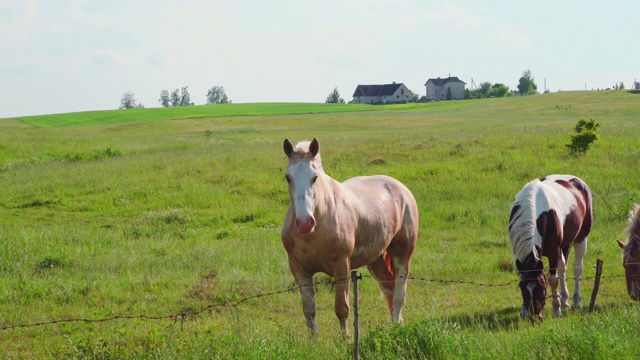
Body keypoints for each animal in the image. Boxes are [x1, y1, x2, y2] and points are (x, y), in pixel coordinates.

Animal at [280, 139, 420, 334]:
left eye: (314, 177)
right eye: (288, 177)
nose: (305, 222)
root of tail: (401, 188)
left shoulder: (341, 267)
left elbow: (342, 308)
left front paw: (344, 338)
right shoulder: (299, 269)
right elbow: (309, 310)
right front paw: (313, 340)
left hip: (402, 253)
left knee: (399, 293)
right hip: (375, 259)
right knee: (389, 288)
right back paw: (396, 324)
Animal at [510, 174, 596, 320]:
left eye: (542, 287)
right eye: (522, 288)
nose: (535, 316)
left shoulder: (553, 251)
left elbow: (553, 280)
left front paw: (556, 310)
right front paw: (524, 310)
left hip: (581, 238)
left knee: (577, 268)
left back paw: (576, 302)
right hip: (563, 246)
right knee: (563, 268)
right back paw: (564, 299)